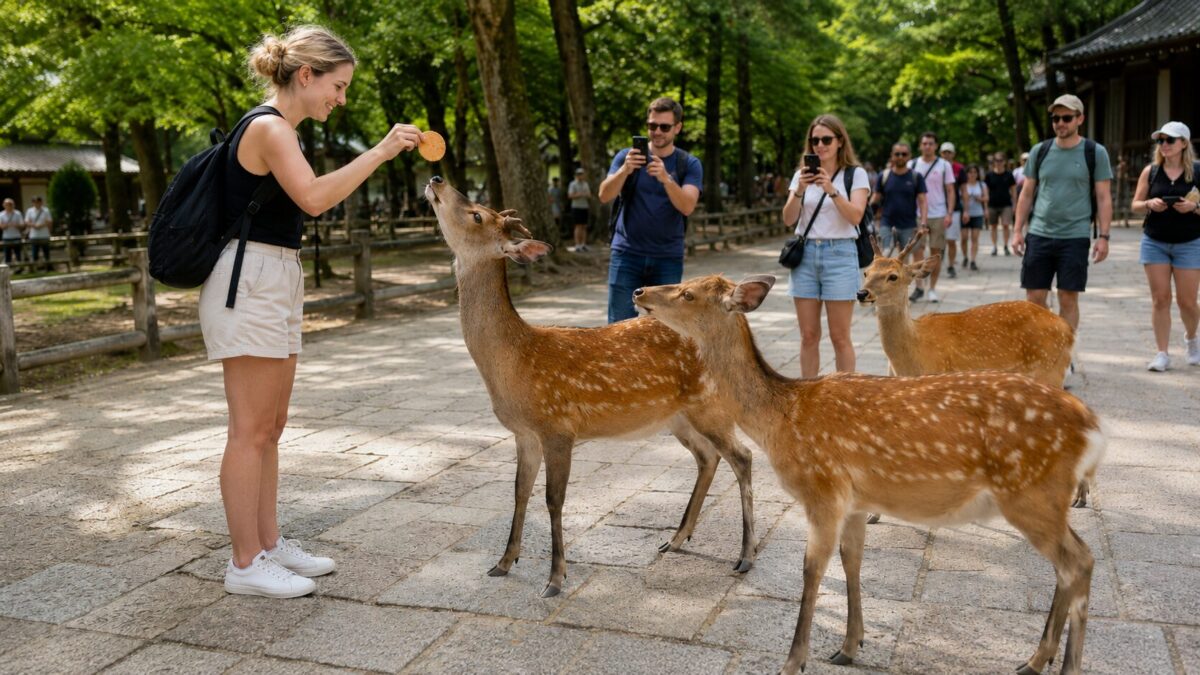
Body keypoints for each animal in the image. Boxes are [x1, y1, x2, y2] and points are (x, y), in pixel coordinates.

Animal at [423, 177, 757, 598]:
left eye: (477, 214)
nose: (437, 180)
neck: (513, 363)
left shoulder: (558, 426)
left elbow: (554, 499)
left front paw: (555, 578)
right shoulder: (524, 433)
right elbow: (519, 492)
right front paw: (503, 562)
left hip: (710, 405)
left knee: (743, 457)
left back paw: (745, 556)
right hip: (677, 416)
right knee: (708, 457)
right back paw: (676, 538)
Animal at [633, 274, 1105, 675]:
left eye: (688, 293)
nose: (639, 291)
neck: (781, 419)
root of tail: (1092, 426)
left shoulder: (823, 489)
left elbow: (812, 570)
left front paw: (793, 661)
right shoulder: (855, 501)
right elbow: (852, 562)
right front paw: (848, 646)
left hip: (1029, 492)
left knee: (1079, 561)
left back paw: (1058, 663)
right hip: (1040, 497)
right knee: (1071, 562)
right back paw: (1035, 659)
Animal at [857, 233, 1092, 508]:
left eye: (893, 276)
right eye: (866, 271)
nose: (862, 293)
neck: (911, 357)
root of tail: (1069, 331)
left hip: (1051, 368)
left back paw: (1076, 495)